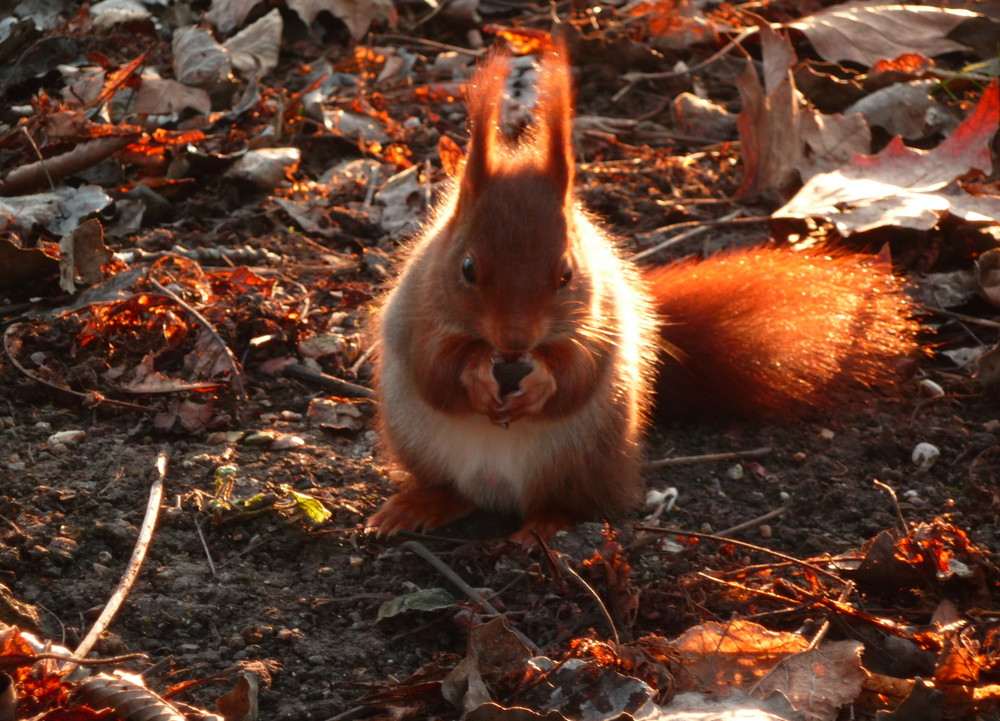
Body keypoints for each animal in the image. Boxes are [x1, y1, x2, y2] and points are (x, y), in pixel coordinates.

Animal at [366, 45, 916, 544]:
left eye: (567, 274)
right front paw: (477, 376)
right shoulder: (416, 311)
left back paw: (544, 525)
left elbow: (580, 372)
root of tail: (495, 491)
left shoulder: (602, 318)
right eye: (467, 269)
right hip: (416, 440)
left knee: (568, 502)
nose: (516, 340)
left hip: (583, 459)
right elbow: (434, 367)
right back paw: (418, 505)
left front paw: (542, 381)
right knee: (451, 489)